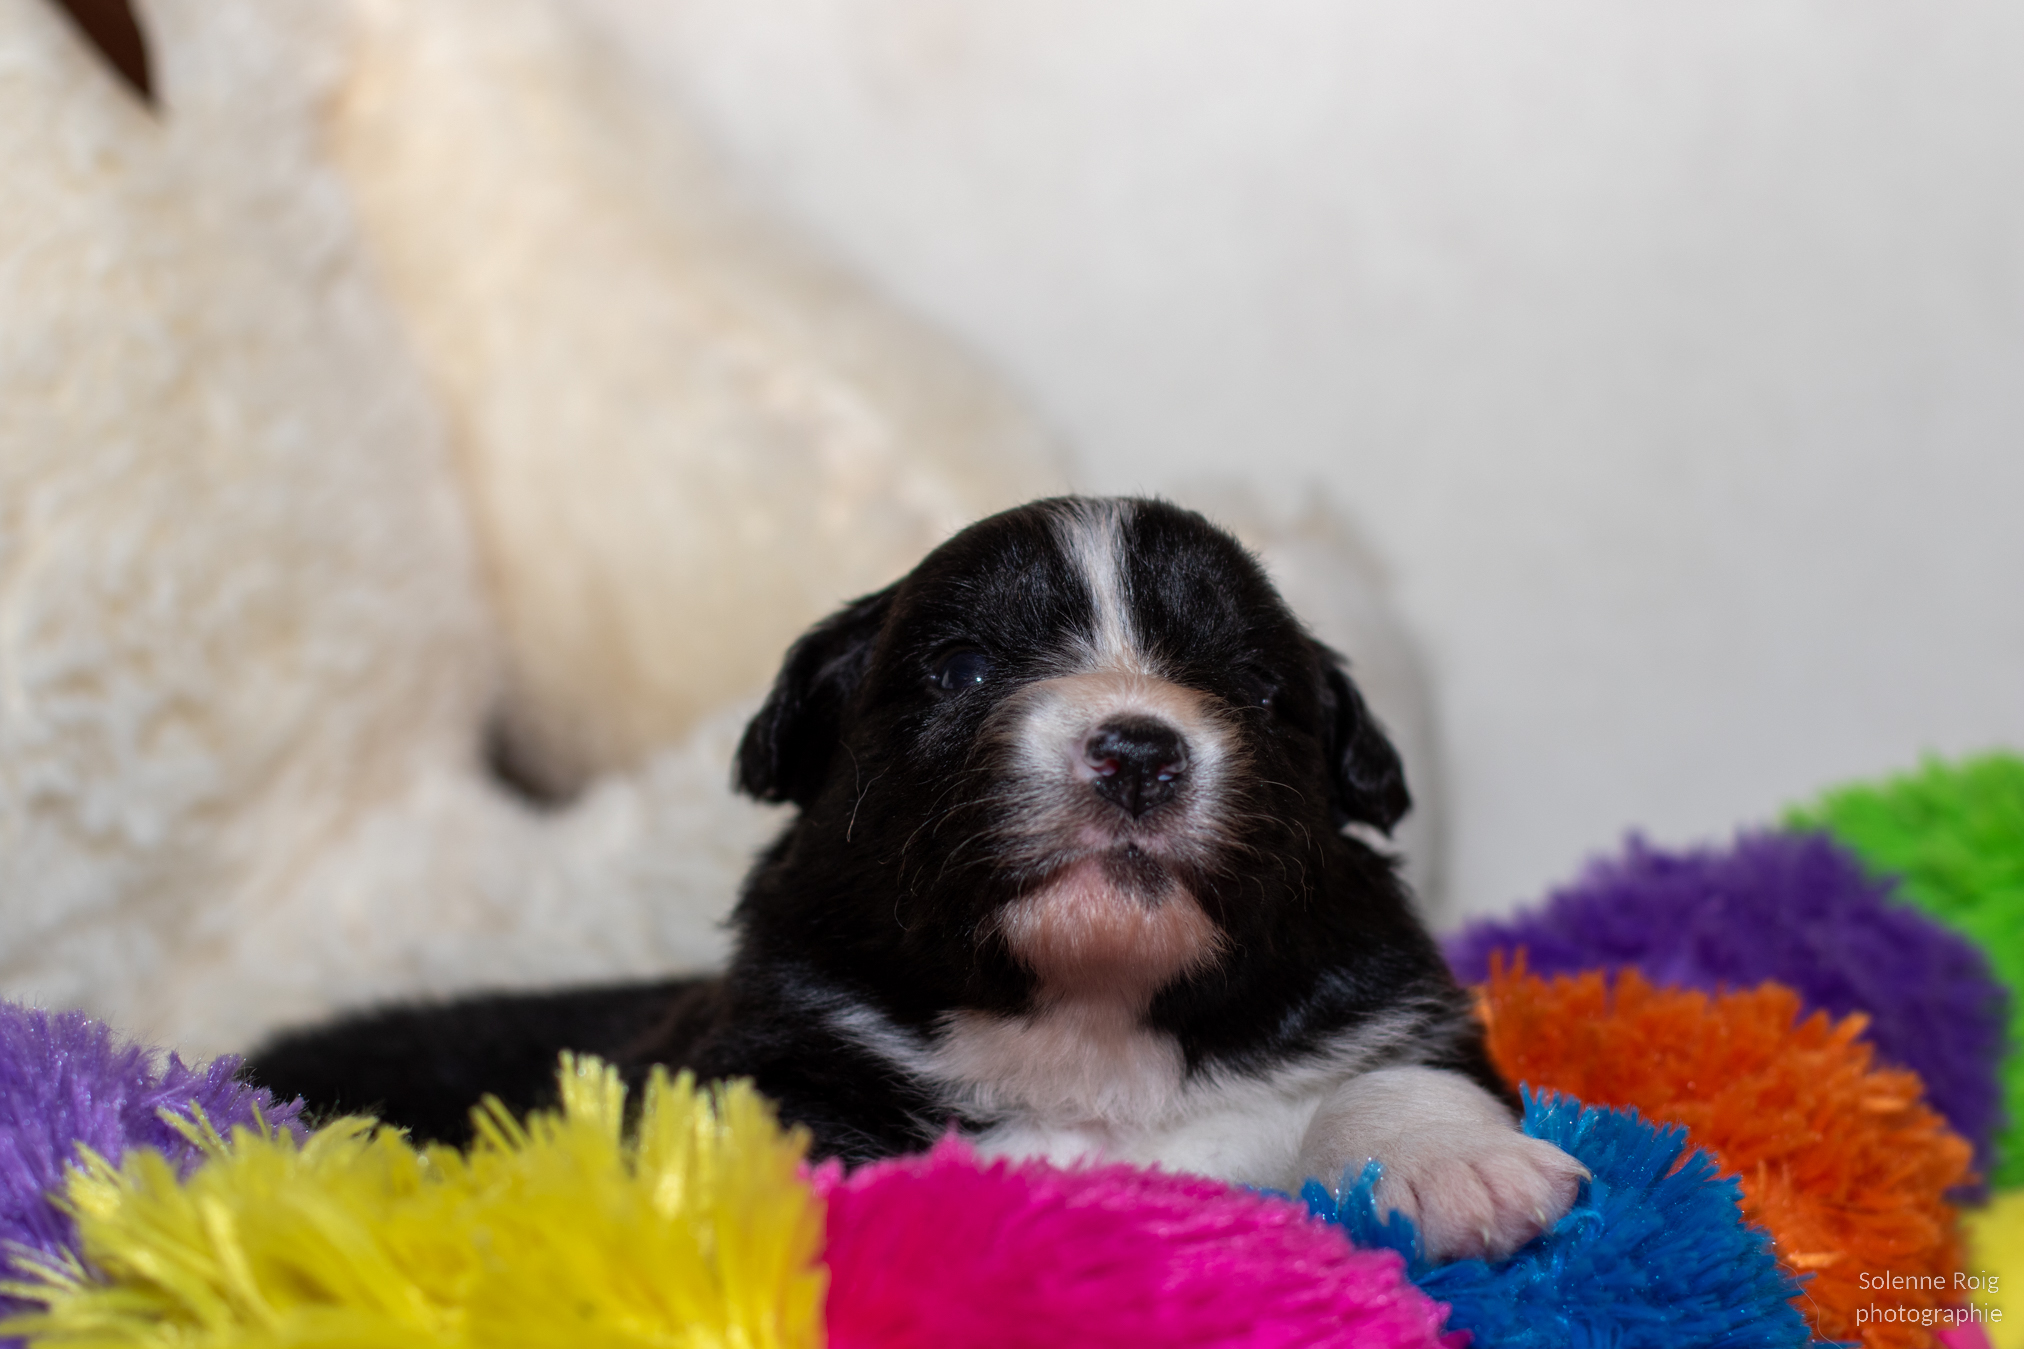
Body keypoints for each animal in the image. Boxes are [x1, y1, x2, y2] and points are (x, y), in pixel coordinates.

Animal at [250, 496, 1584, 1260]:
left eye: (1258, 688)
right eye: (961, 669)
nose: (1138, 747)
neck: (1092, 1028)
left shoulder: (1380, 998)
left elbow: (1399, 1072)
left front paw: (1453, 1167)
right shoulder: (760, 1054)